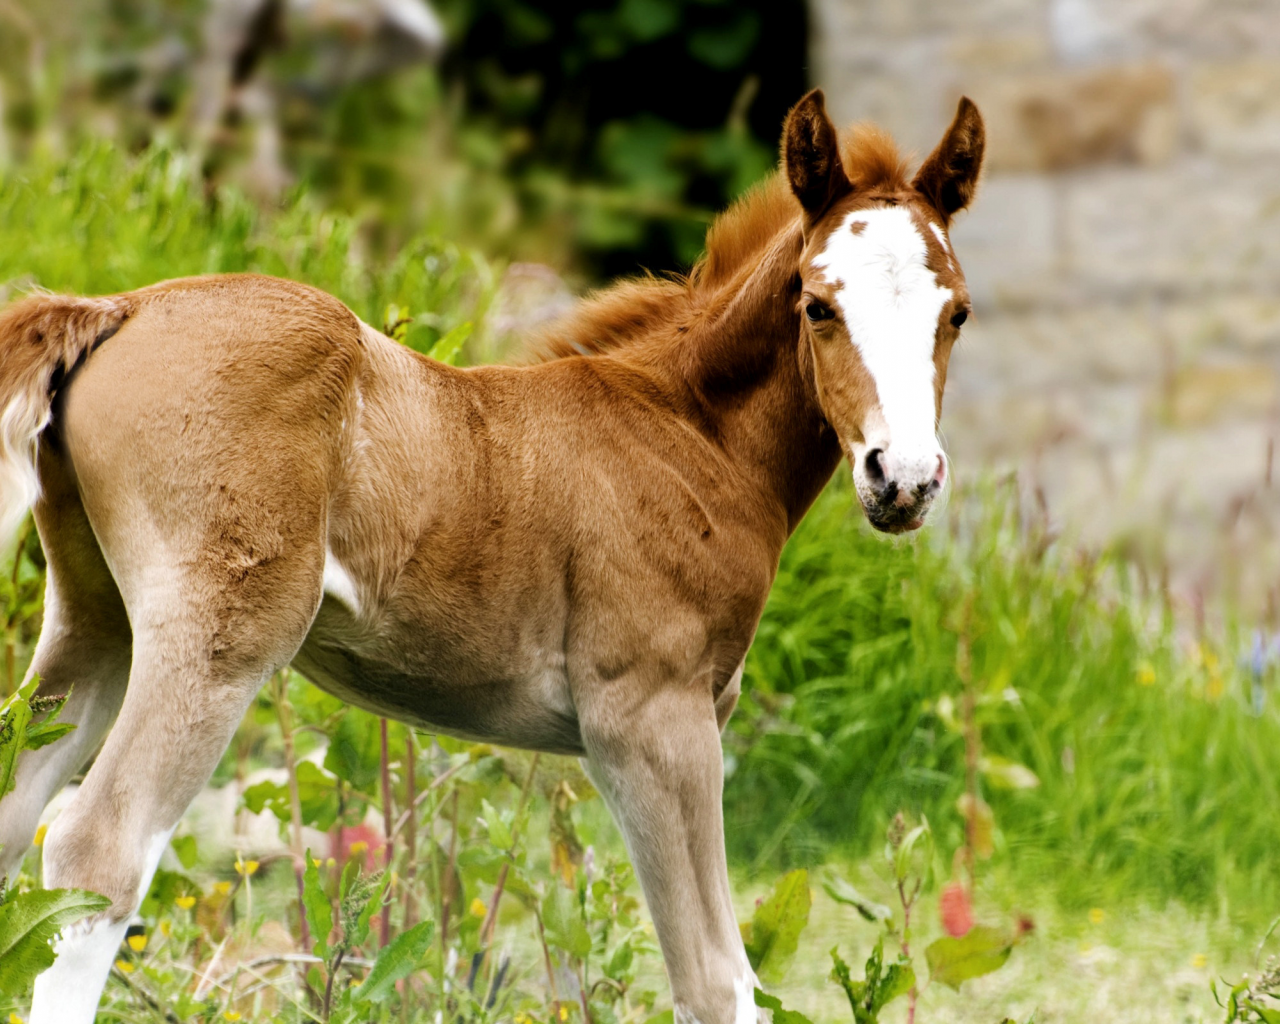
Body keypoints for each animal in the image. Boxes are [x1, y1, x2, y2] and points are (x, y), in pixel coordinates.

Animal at [0, 90, 983, 1024]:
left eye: (958, 314)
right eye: (819, 306)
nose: (903, 479)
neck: (686, 431)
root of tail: (119, 307)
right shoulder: (650, 720)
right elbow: (717, 981)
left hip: (95, 621)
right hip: (219, 638)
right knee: (95, 850)